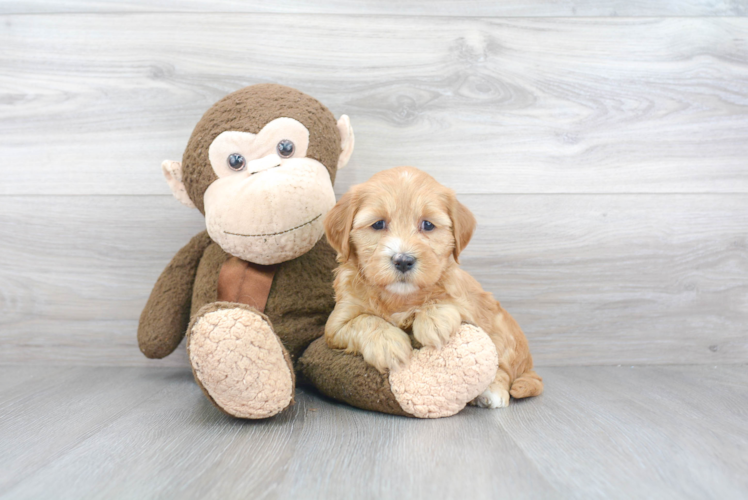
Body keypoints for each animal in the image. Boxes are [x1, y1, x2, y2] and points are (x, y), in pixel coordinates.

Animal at [322, 166, 544, 408]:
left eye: (427, 225)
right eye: (378, 224)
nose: (403, 261)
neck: (399, 298)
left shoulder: (465, 302)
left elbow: (442, 300)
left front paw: (433, 321)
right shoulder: (336, 325)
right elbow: (365, 320)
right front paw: (388, 344)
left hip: (503, 332)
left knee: (503, 368)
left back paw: (492, 392)